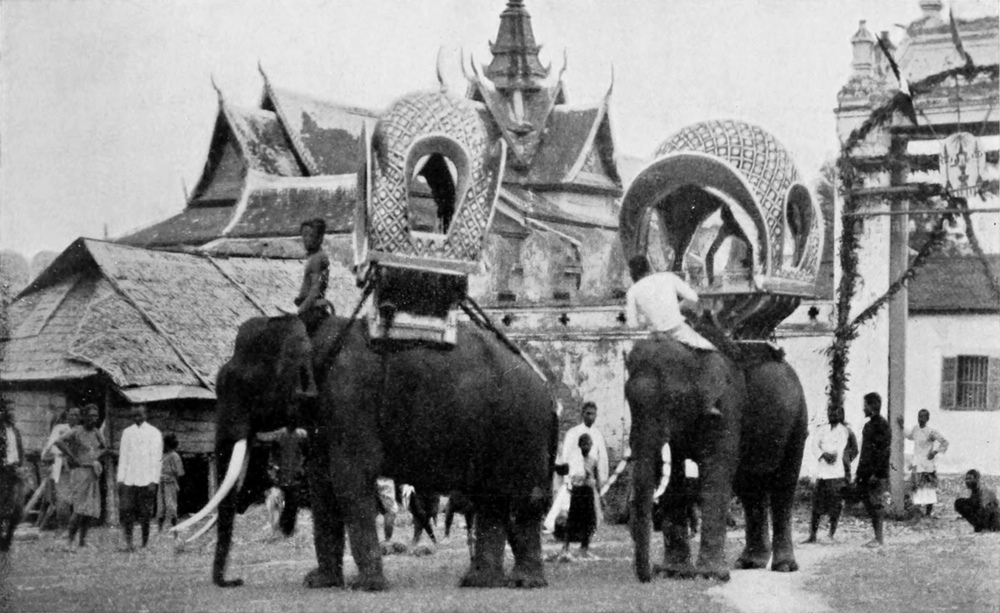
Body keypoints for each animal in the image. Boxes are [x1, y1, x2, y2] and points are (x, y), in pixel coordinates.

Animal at [179, 314, 557, 590]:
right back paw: (482, 581)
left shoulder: (350, 399)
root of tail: (546, 387)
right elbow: (323, 485)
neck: (314, 333)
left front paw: (366, 586)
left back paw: (522, 582)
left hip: (521, 430)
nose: (234, 580)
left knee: (521, 500)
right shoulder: (326, 415)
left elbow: (349, 479)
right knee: (491, 500)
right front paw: (319, 583)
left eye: (241, 384)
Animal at [626, 332, 808, 582]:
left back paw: (784, 566)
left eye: (674, 400)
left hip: (798, 420)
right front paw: (674, 573)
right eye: (628, 400)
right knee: (749, 489)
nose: (650, 575)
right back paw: (749, 562)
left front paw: (709, 575)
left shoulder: (727, 406)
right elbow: (675, 476)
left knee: (784, 485)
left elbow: (717, 469)